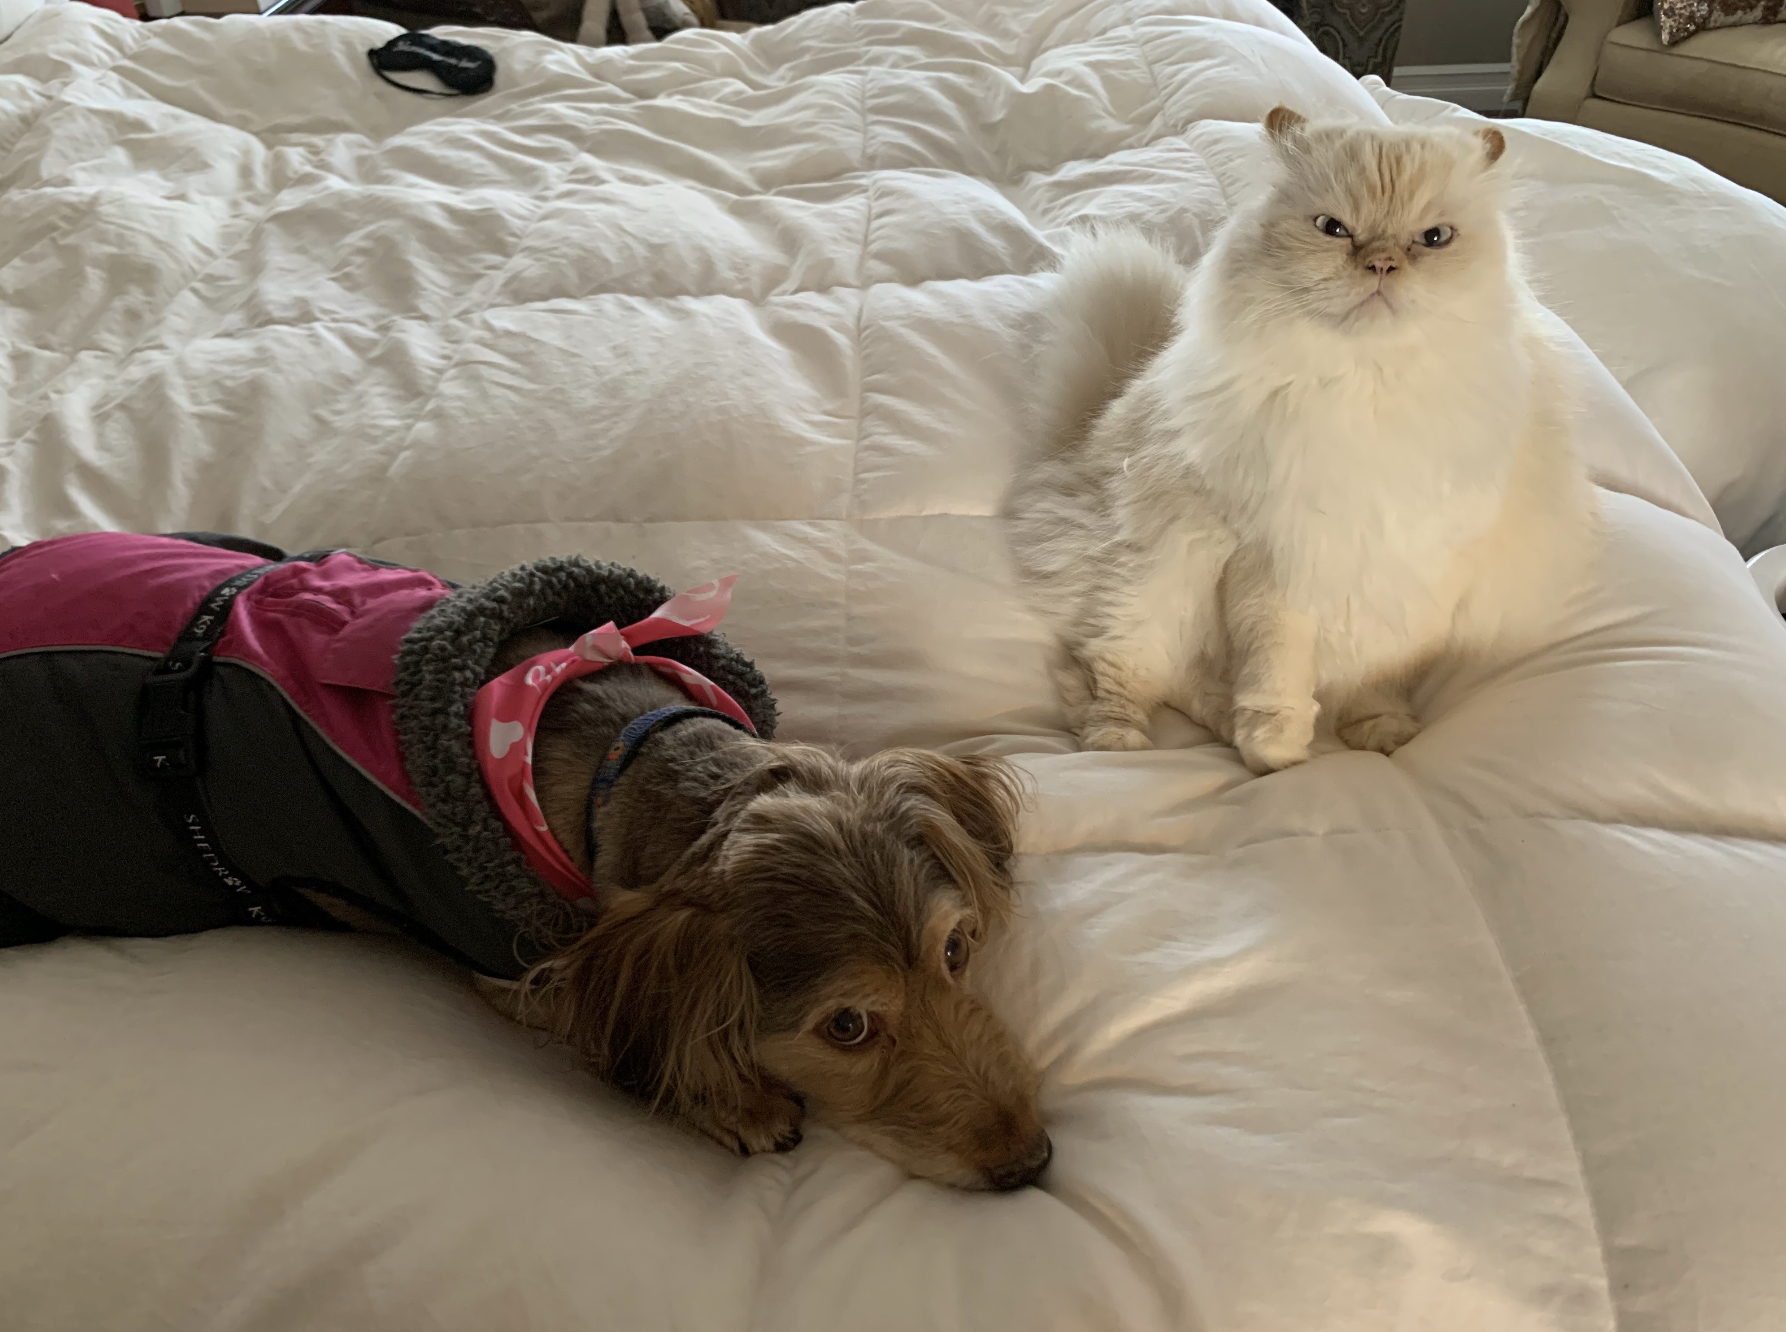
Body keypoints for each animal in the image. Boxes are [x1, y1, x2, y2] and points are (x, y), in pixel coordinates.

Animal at [0, 532, 1050, 1190]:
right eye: (847, 1027)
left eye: (956, 951)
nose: (1033, 1161)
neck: (633, 755)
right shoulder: (519, 968)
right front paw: (737, 1099)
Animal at [1008, 107, 1601, 773]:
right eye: (1333, 229)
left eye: (1434, 239)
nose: (1381, 263)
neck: (1369, 393)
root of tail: (1072, 447)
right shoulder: (1275, 560)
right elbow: (1276, 672)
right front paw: (1277, 751)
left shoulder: (1418, 571)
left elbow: (1379, 675)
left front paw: (1376, 732)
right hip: (1155, 576)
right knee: (1114, 676)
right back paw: (1124, 744)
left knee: (1187, 687)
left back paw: (1227, 729)